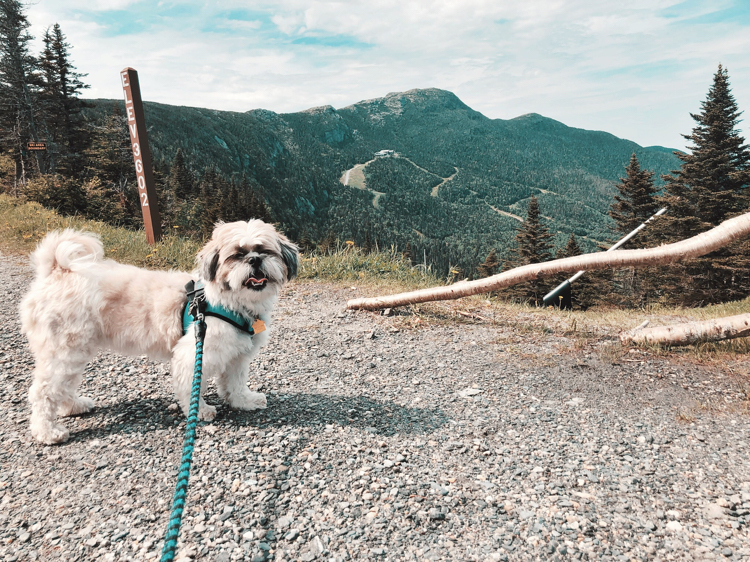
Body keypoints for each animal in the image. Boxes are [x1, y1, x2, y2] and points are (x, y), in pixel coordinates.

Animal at [19, 219, 300, 442]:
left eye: (264, 250)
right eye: (237, 254)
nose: (254, 259)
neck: (230, 302)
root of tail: (56, 271)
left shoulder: (237, 356)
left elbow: (236, 383)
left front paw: (244, 401)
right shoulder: (195, 353)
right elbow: (191, 388)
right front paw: (200, 411)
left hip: (74, 352)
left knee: (63, 386)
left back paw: (74, 406)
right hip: (64, 350)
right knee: (43, 391)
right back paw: (48, 432)